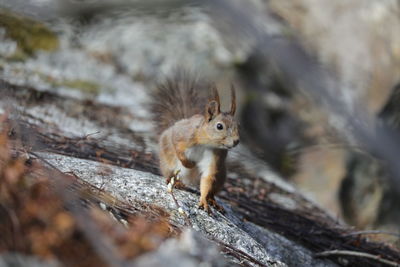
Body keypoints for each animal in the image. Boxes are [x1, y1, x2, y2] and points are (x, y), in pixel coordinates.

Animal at [149, 72, 239, 215]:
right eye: (219, 126)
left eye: (238, 126)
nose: (236, 141)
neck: (207, 143)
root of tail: (190, 181)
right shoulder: (184, 135)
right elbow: (178, 147)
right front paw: (189, 164)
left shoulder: (215, 157)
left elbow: (207, 179)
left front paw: (203, 201)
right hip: (167, 163)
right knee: (171, 174)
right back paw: (176, 182)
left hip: (221, 175)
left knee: (211, 189)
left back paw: (212, 200)